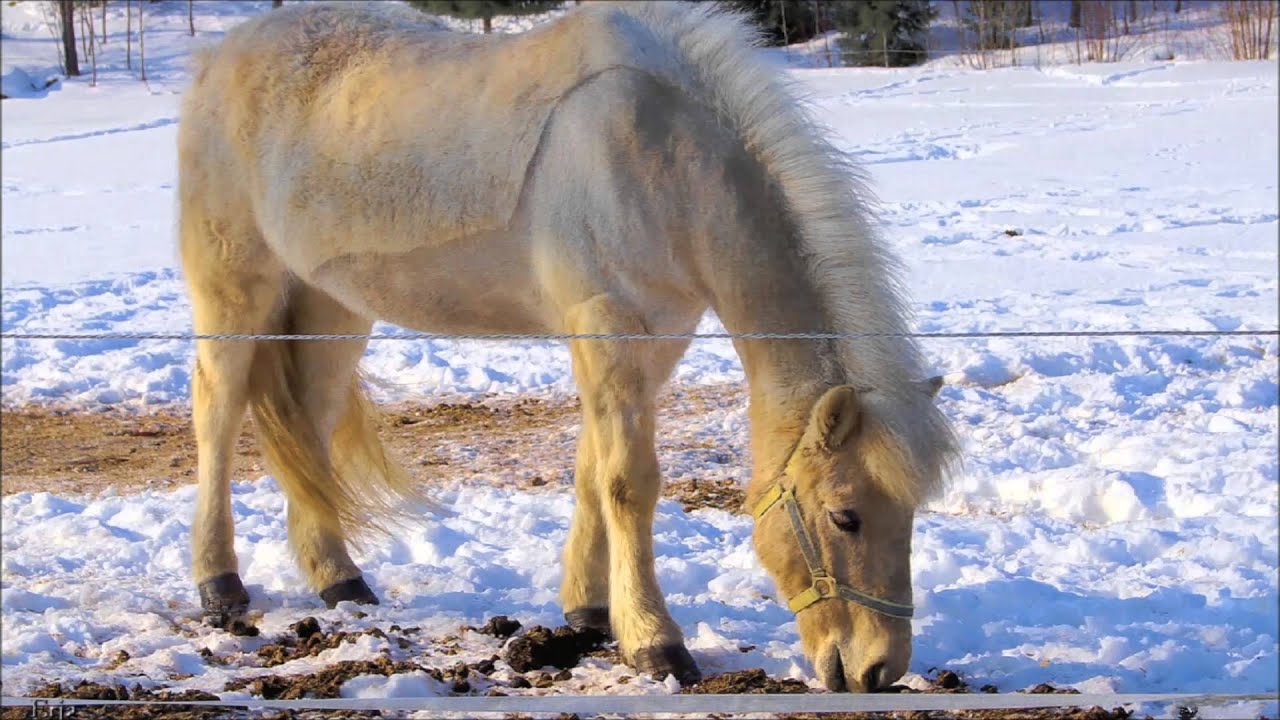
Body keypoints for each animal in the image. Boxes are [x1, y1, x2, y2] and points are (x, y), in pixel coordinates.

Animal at [180, 0, 962, 691]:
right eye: (844, 516)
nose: (878, 669)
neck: (659, 150)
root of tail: (218, 55)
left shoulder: (651, 340)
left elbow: (593, 470)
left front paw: (588, 612)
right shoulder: (606, 325)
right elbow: (629, 482)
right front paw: (654, 642)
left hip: (331, 307)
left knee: (307, 428)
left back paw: (339, 578)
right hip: (236, 291)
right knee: (217, 412)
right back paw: (220, 584)